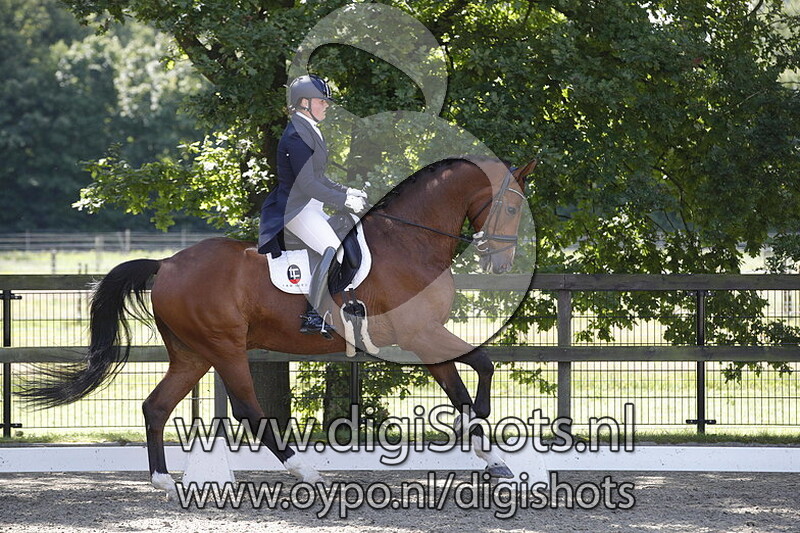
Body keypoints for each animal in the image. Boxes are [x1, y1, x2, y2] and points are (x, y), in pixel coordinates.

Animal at [20, 156, 537, 497]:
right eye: (513, 208)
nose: (499, 263)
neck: (411, 240)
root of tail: (167, 264)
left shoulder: (422, 337)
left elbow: (463, 383)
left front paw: (490, 456)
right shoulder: (420, 334)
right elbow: (482, 366)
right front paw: (485, 432)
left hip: (192, 354)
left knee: (156, 407)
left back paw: (165, 481)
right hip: (225, 348)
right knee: (250, 411)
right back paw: (308, 474)